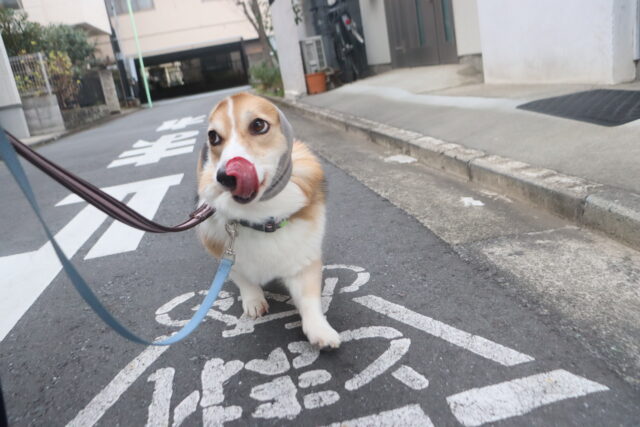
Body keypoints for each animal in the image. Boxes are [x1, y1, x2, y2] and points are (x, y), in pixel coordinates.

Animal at [196, 92, 341, 349]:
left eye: (258, 125)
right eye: (213, 137)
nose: (224, 177)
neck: (262, 220)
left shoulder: (303, 259)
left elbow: (309, 298)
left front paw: (320, 331)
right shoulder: (226, 254)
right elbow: (244, 280)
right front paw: (253, 301)